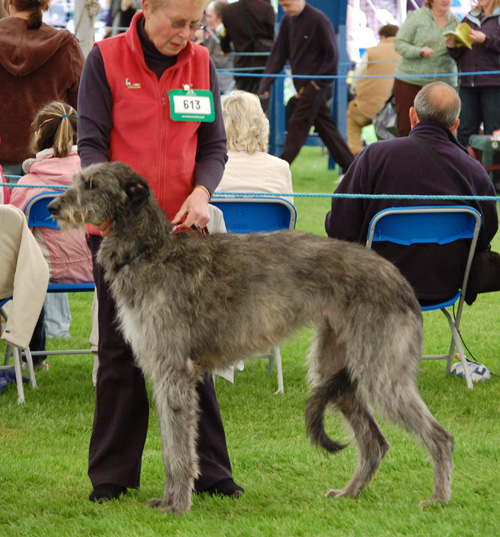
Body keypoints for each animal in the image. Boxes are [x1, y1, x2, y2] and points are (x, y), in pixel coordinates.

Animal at [47, 161, 454, 512]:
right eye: (79, 179)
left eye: (92, 184)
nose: (52, 206)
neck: (150, 250)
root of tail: (399, 278)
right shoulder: (161, 371)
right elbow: (169, 444)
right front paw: (168, 499)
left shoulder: (174, 371)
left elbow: (178, 449)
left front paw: (177, 505)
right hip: (336, 366)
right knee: (375, 443)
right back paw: (349, 493)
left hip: (381, 369)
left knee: (440, 437)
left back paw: (438, 499)